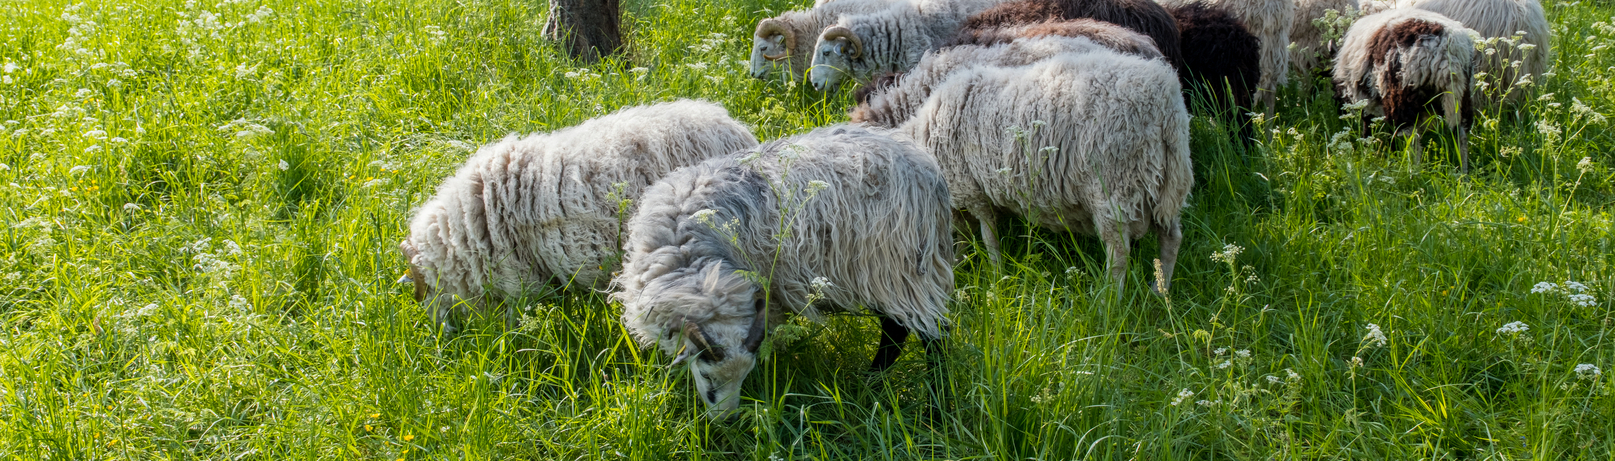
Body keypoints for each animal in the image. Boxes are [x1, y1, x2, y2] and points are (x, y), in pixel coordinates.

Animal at [612, 124, 955, 418]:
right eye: (708, 377)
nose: (726, 420)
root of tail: (926, 171)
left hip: (892, 267)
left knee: (923, 332)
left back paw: (933, 407)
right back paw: (874, 384)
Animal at [856, 50, 1193, 293]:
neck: (922, 138)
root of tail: (1166, 100)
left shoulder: (973, 190)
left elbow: (988, 235)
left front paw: (995, 274)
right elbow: (961, 236)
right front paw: (962, 264)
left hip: (1115, 187)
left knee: (1119, 253)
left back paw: (1109, 300)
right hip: (1166, 181)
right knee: (1172, 238)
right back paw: (1160, 290)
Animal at [1333, 7, 1477, 171]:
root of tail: (1444, 48)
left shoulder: (1366, 98)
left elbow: (1367, 123)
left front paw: (1368, 148)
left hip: (1403, 93)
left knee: (1410, 135)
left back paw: (1413, 170)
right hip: (1462, 93)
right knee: (1461, 132)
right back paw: (1462, 171)